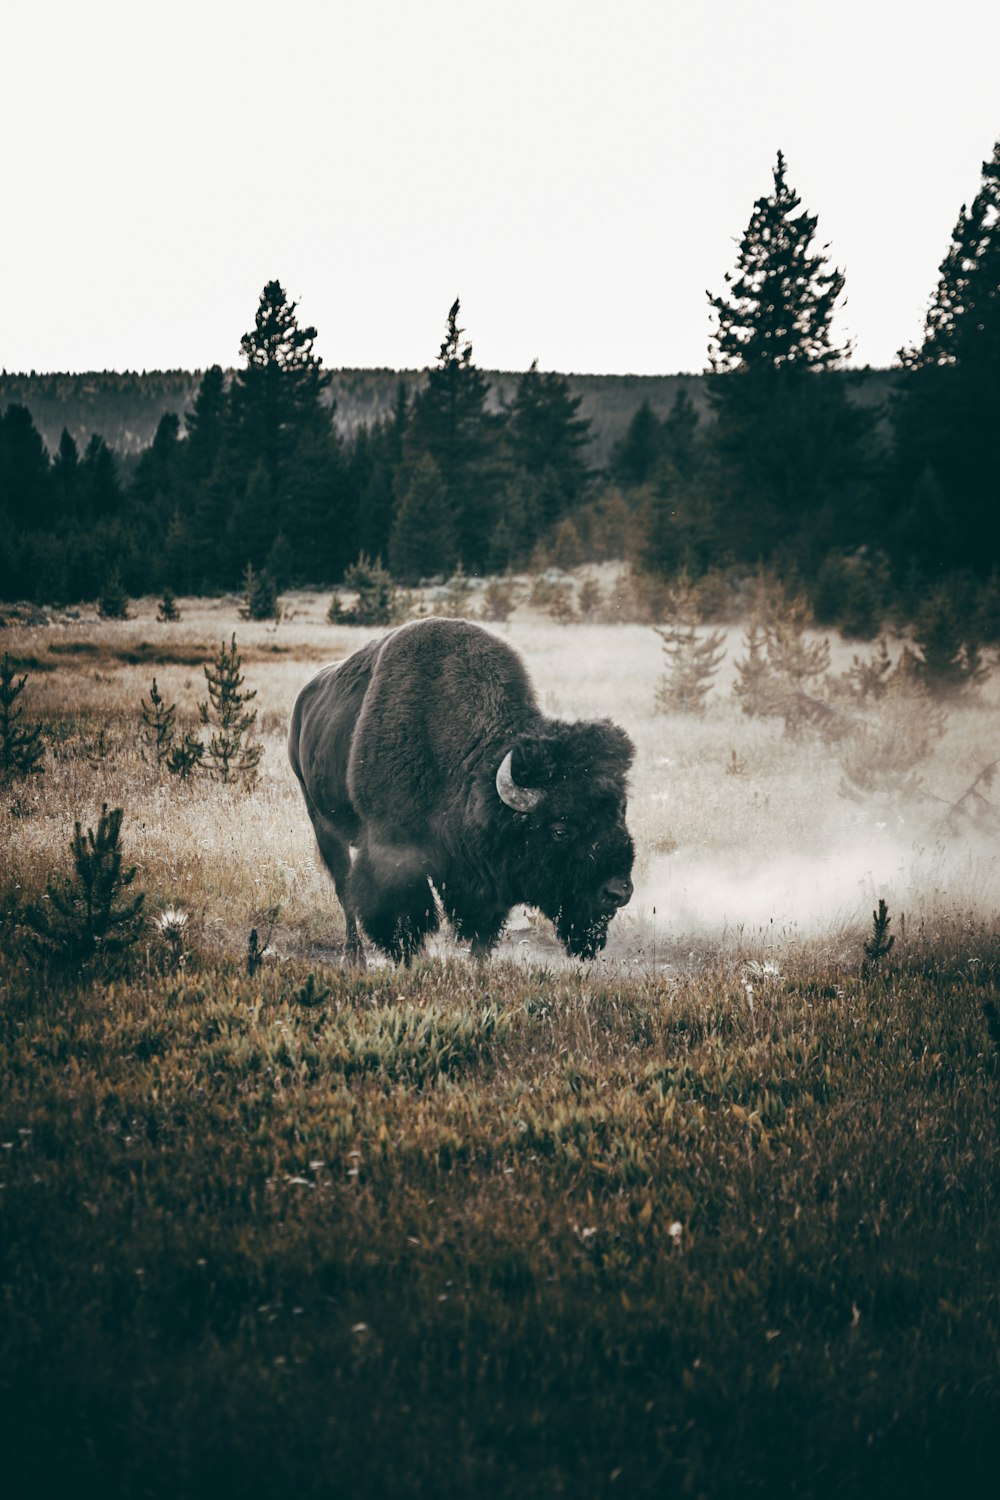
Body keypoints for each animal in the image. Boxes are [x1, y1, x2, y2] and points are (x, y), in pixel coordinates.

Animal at [287, 618, 632, 960]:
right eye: (560, 830)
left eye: (619, 815)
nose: (618, 891)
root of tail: (303, 703)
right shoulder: (394, 854)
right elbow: (403, 919)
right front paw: (409, 960)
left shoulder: (481, 878)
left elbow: (481, 930)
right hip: (322, 822)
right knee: (345, 890)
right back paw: (355, 957)